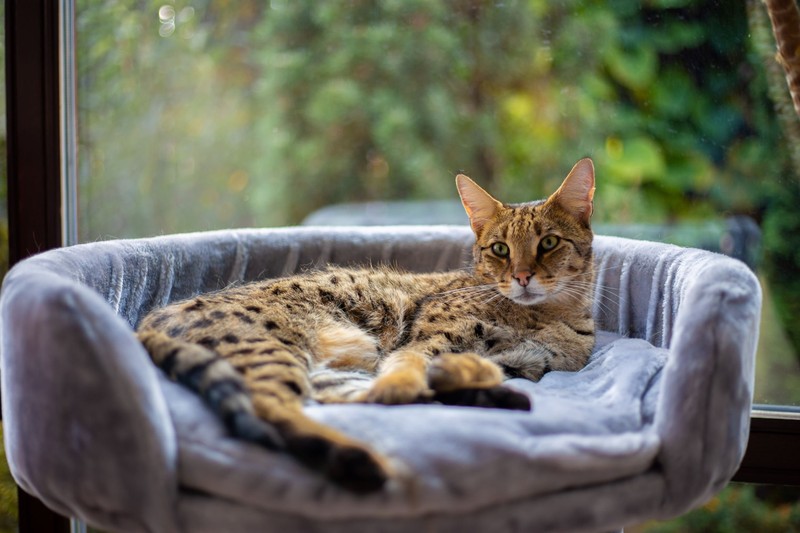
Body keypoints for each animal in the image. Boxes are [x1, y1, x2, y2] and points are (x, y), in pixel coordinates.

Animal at [138, 156, 596, 492]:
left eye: (549, 243)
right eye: (500, 249)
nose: (522, 276)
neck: (541, 316)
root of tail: (146, 320)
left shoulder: (529, 363)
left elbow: (479, 366)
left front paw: (466, 374)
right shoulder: (426, 337)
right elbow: (409, 363)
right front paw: (434, 375)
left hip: (335, 365)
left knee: (355, 398)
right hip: (276, 347)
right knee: (274, 405)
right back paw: (357, 459)